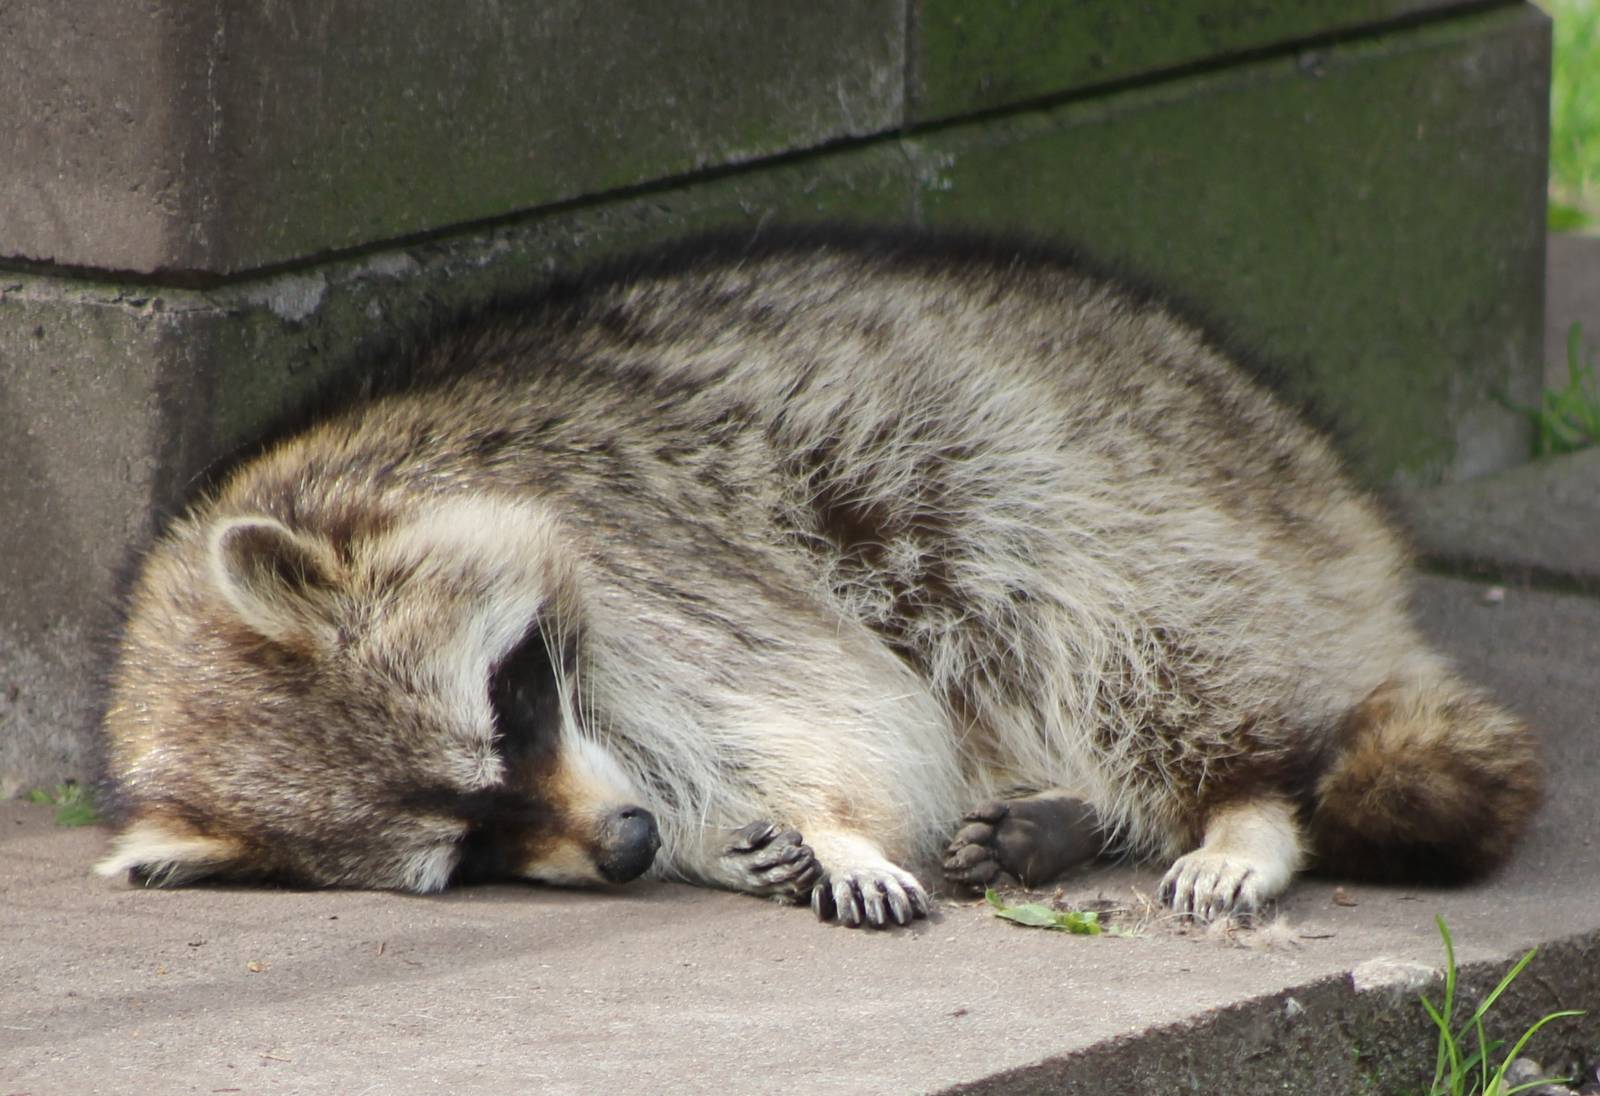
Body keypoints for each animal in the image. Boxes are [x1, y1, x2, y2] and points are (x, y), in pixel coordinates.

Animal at [94, 231, 1541, 928]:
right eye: (470, 848)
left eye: (508, 707)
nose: (626, 849)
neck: (380, 470)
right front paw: (721, 845)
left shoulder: (645, 554)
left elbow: (841, 709)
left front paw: (836, 821)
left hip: (1110, 499)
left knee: (1113, 639)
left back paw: (1241, 806)